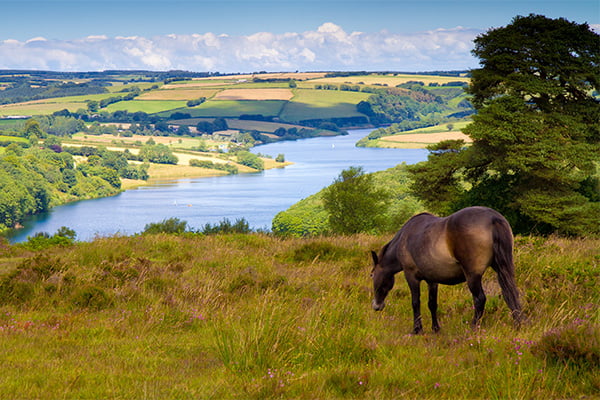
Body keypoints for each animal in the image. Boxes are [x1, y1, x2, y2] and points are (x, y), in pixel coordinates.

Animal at [370, 206, 520, 334]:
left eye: (372, 275)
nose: (376, 306)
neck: (404, 238)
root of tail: (493, 218)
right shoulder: (432, 280)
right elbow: (432, 304)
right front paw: (436, 328)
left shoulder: (411, 276)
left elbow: (415, 302)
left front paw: (417, 329)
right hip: (502, 269)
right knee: (511, 294)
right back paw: (518, 323)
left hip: (472, 276)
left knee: (479, 299)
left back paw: (473, 327)